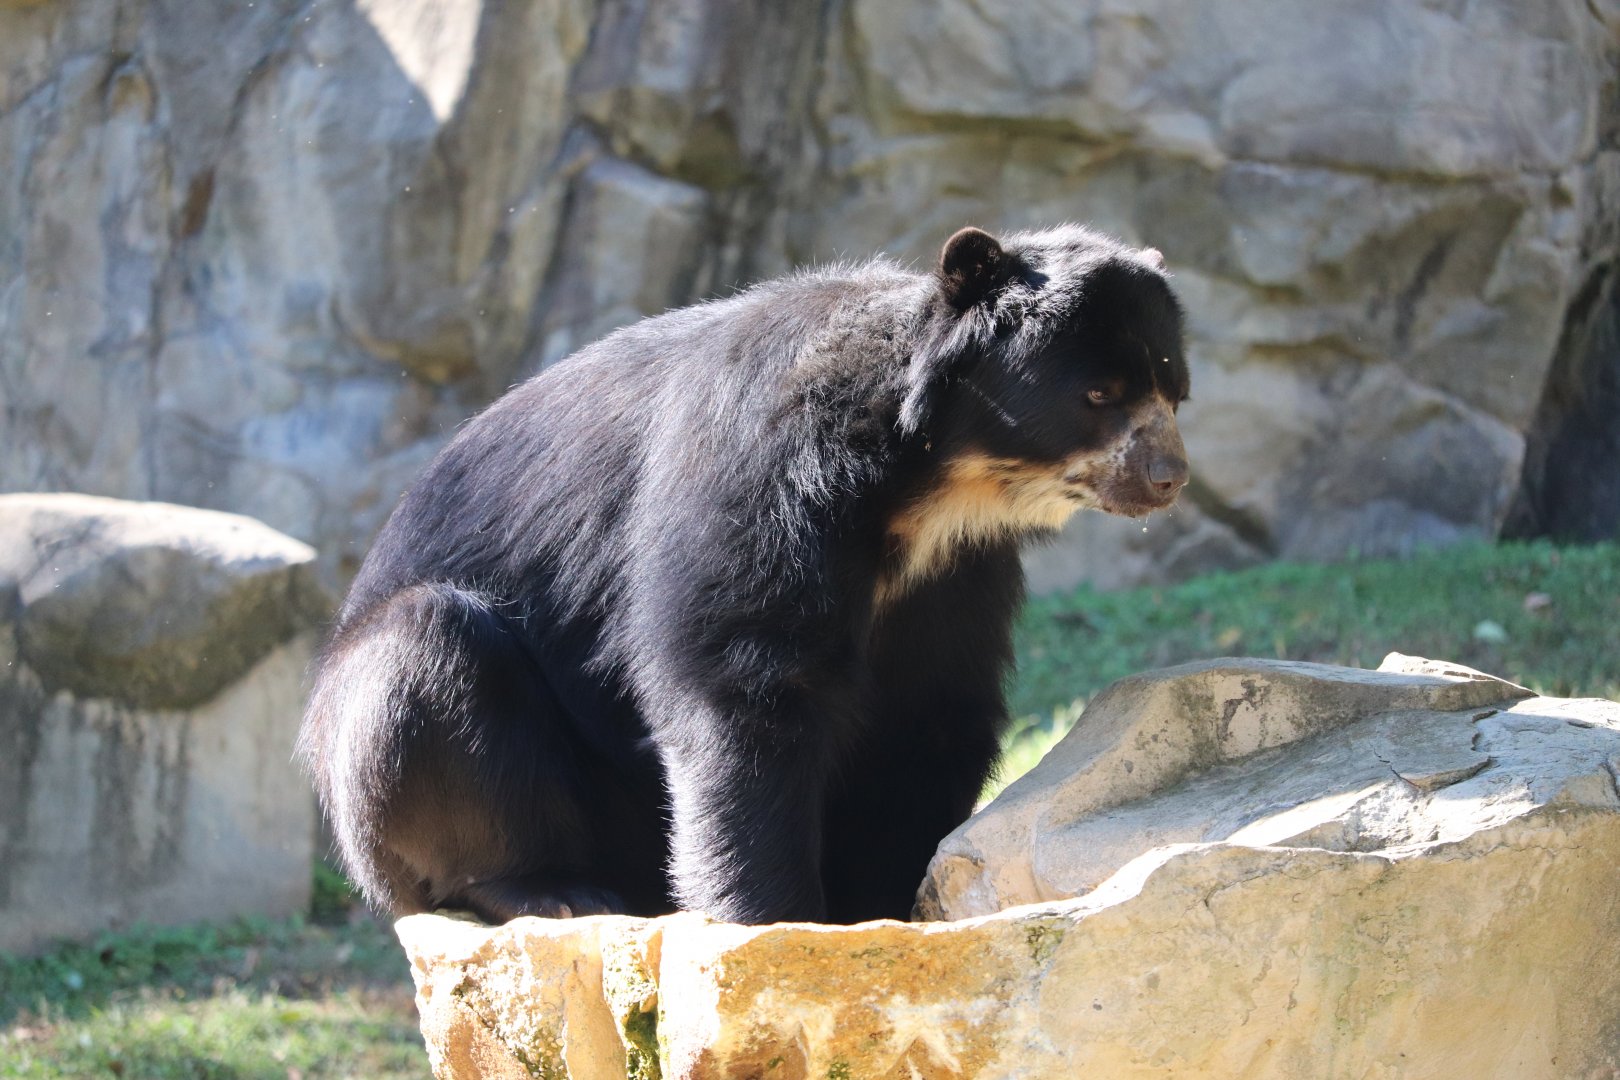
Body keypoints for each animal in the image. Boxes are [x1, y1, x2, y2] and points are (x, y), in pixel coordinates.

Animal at [300, 224, 1190, 926]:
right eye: (1099, 394)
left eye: (1174, 389)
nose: (1168, 476)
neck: (926, 482)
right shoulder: (762, 470)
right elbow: (743, 681)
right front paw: (776, 921)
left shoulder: (953, 571)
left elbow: (932, 707)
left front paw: (886, 904)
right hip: (383, 754)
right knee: (429, 657)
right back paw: (552, 889)